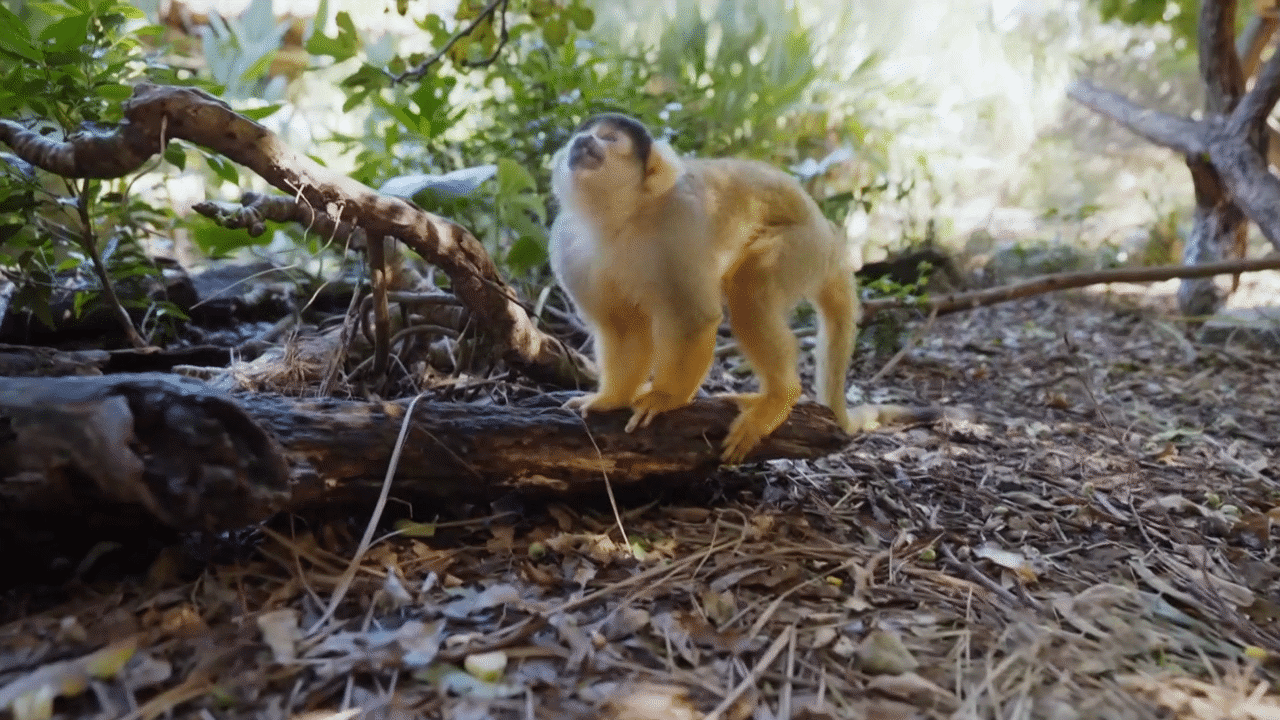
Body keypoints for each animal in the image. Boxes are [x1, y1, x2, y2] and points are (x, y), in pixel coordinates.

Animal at [548, 113, 927, 463]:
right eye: (583, 135)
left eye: (609, 138)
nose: (583, 141)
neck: (618, 218)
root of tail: (831, 240)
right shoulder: (568, 247)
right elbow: (624, 329)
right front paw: (611, 399)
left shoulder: (678, 225)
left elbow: (694, 318)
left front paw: (664, 398)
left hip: (804, 248)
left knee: (751, 291)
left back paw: (777, 398)